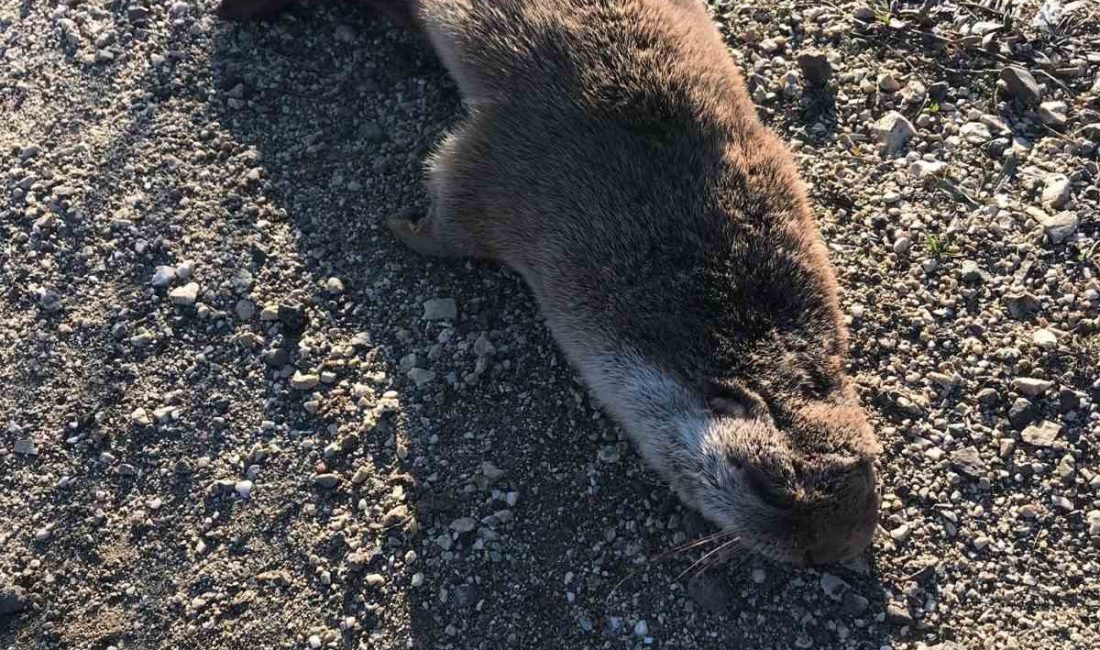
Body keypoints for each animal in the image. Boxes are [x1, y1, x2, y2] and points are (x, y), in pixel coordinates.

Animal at [218, 0, 880, 563]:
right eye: (770, 487)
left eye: (869, 482)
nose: (833, 554)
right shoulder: (513, 184)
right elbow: (447, 210)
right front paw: (402, 225)